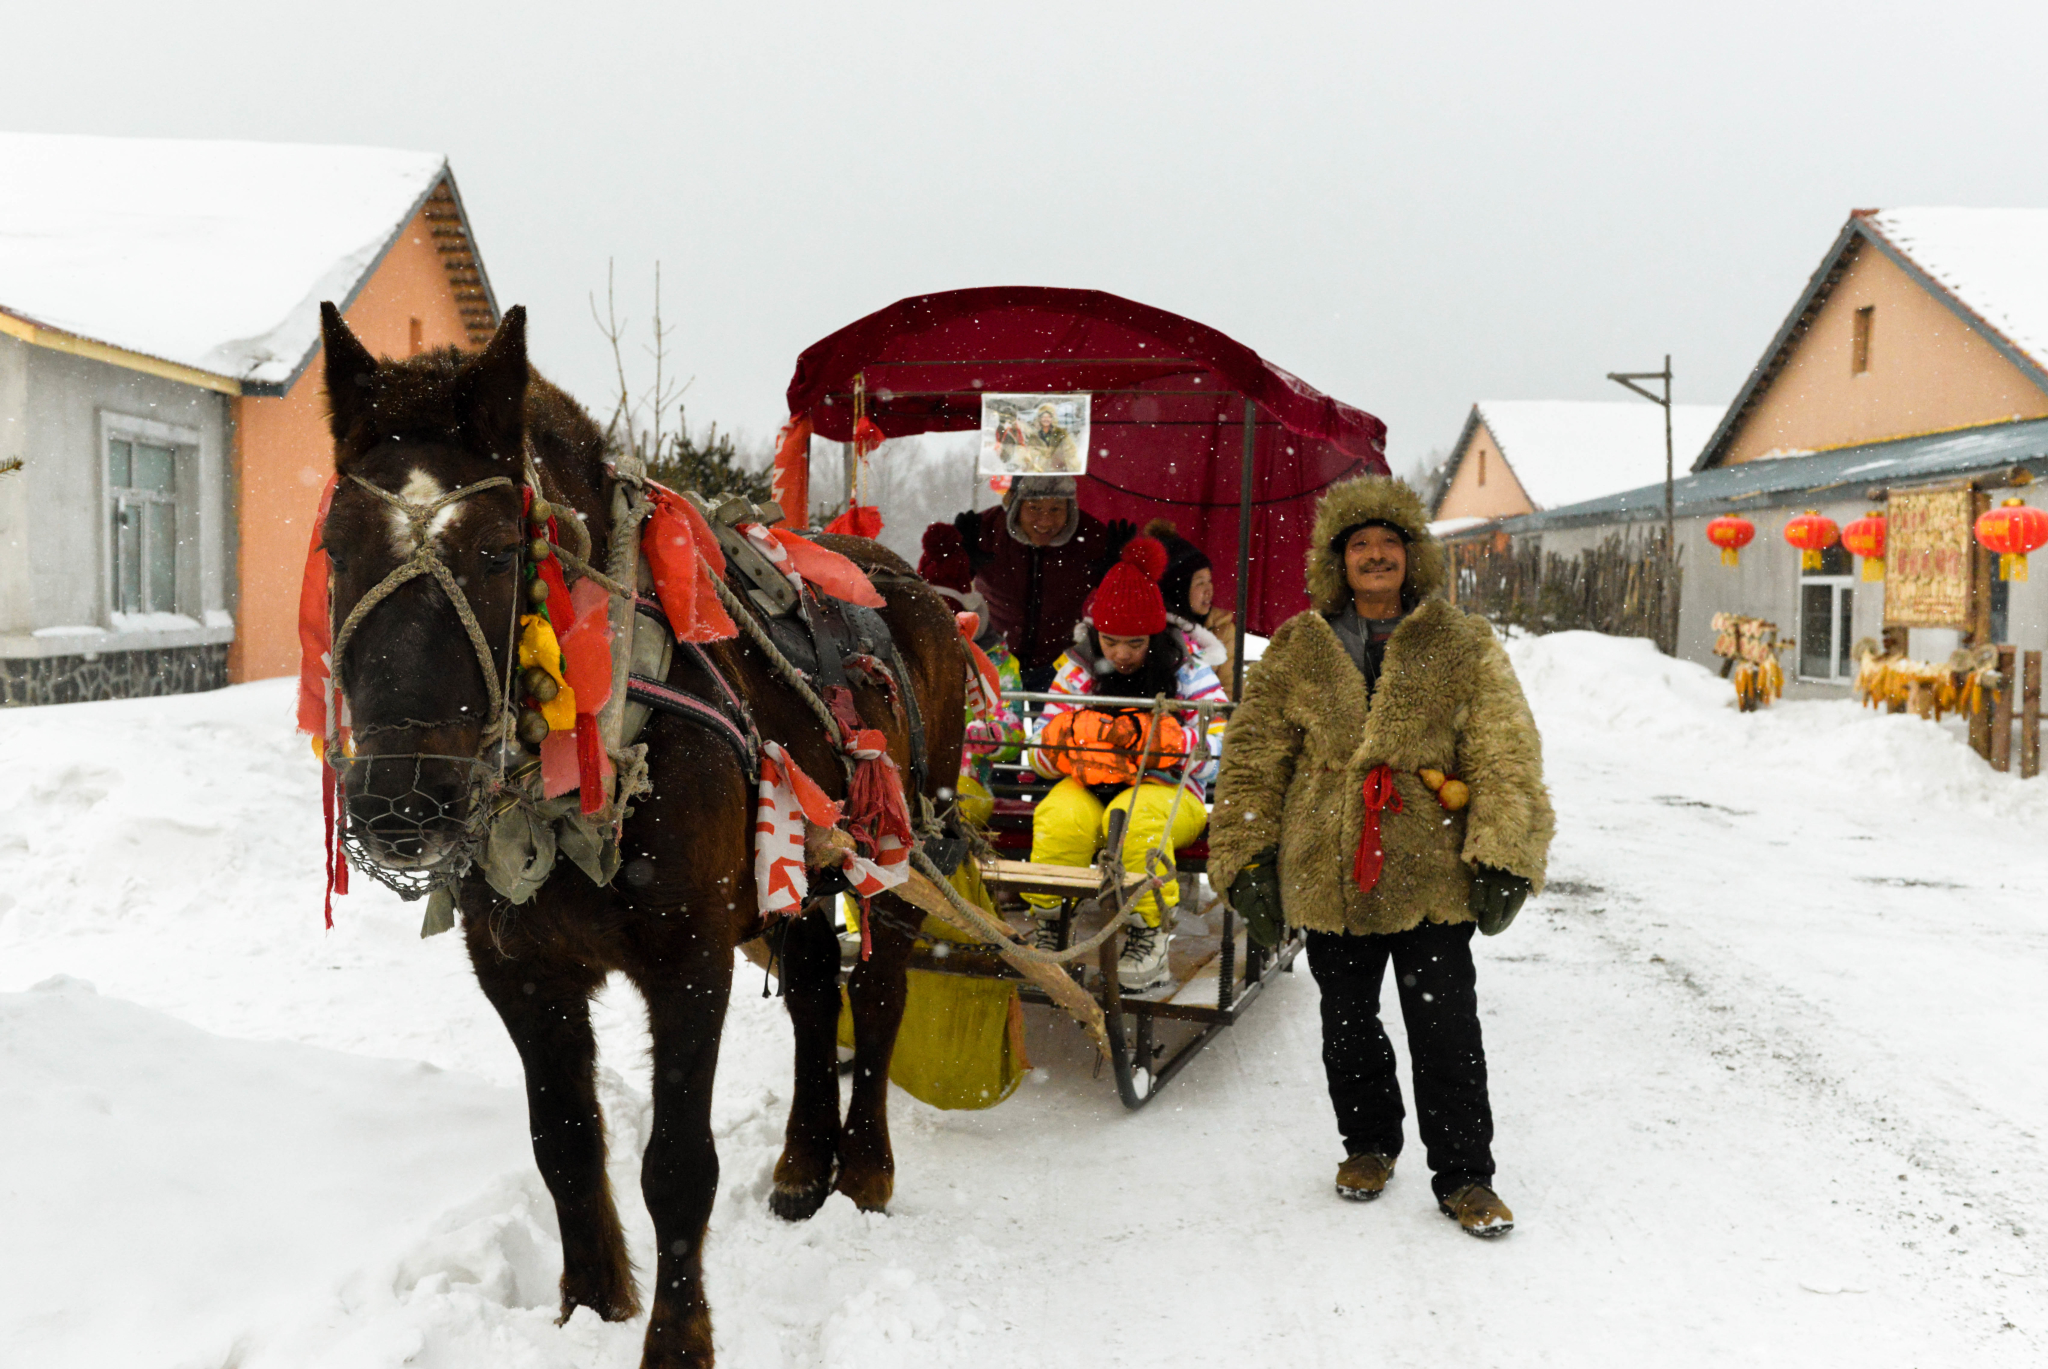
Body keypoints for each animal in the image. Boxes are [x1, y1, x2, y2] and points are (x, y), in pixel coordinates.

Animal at [313, 301, 966, 1369]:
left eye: (498, 551)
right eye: (335, 547)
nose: (399, 801)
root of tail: (908, 585)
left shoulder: (690, 957)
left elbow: (677, 1163)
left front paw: (676, 1338)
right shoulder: (520, 969)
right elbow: (565, 1141)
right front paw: (590, 1304)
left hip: (898, 847)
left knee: (874, 994)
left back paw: (864, 1168)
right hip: (794, 862)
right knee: (815, 990)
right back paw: (803, 1165)